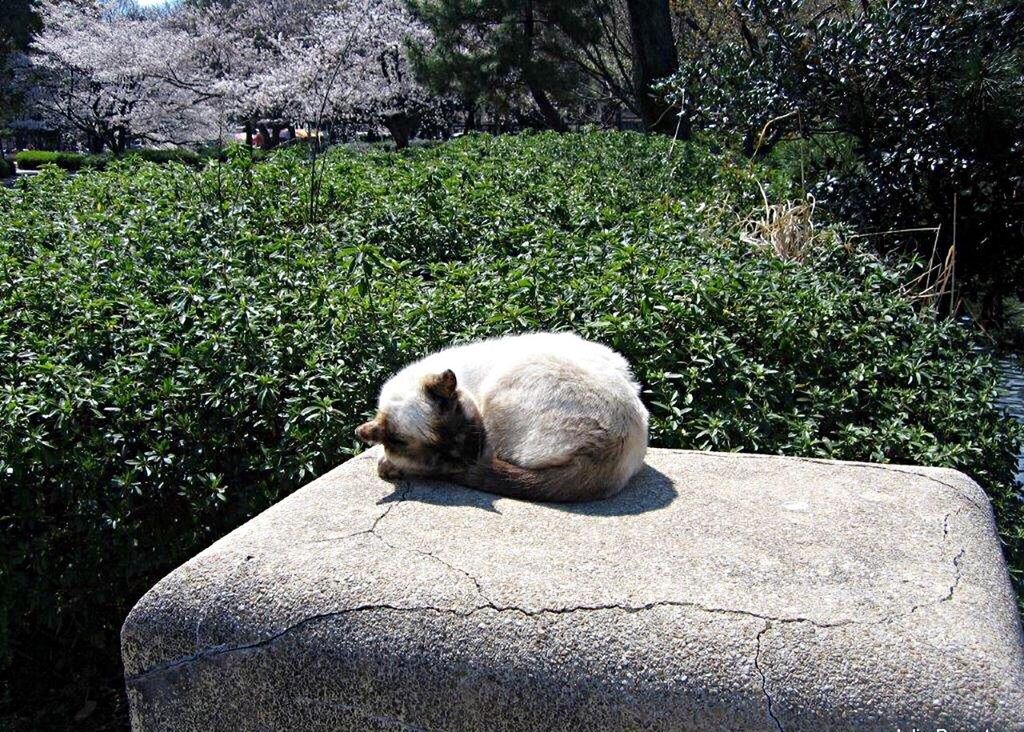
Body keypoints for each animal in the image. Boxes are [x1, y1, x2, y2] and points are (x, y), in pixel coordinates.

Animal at [356, 333, 647, 501]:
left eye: (469, 435)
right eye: (445, 457)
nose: (468, 460)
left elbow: (383, 460)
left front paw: (389, 465)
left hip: (501, 387)